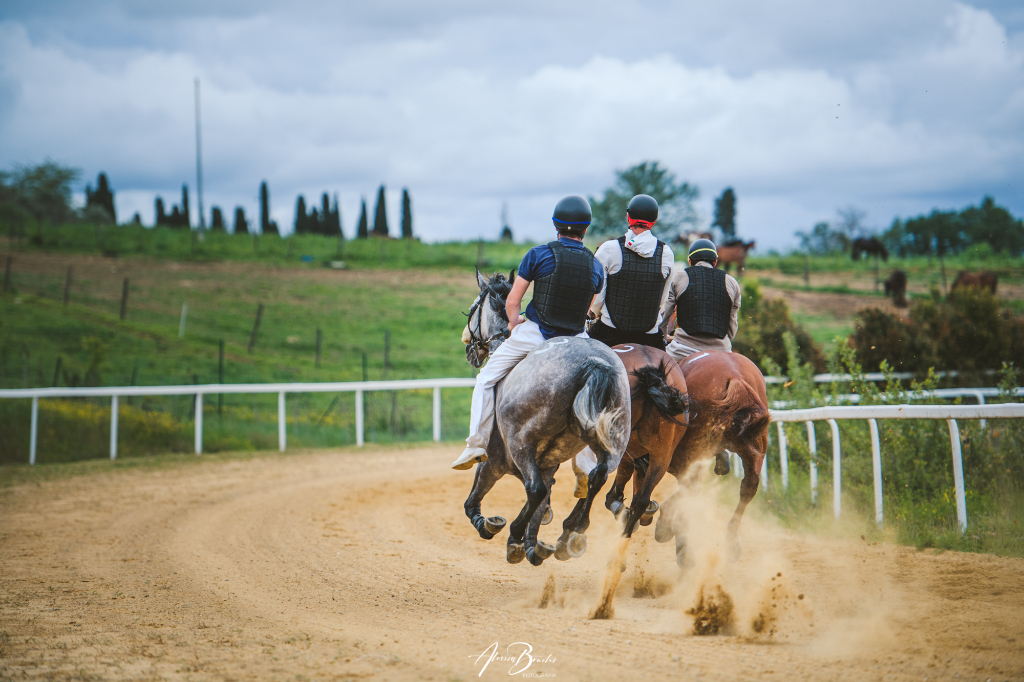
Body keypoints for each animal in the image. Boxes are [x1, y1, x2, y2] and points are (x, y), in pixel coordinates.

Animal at [462, 270, 630, 561]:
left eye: (473, 308)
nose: (467, 345)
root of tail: (594, 363)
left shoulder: (494, 462)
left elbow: (474, 502)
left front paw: (489, 525)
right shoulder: (548, 463)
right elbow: (542, 501)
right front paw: (531, 543)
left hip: (519, 442)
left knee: (535, 488)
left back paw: (518, 532)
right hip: (613, 442)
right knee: (597, 476)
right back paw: (574, 533)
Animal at [655, 348, 770, 565]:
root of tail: (736, 378)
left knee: (690, 487)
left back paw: (669, 530)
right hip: (754, 448)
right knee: (749, 486)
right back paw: (731, 543)